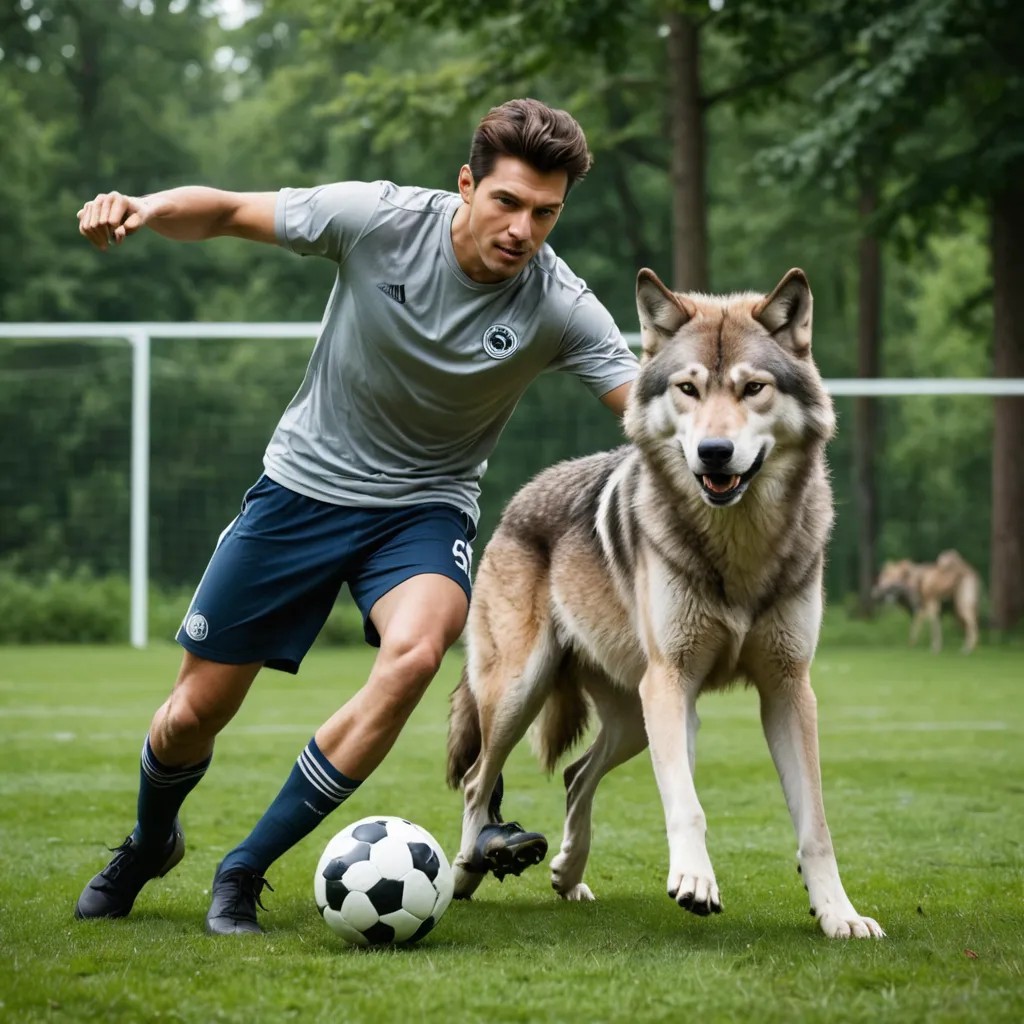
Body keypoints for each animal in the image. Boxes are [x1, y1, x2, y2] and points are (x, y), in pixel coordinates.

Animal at [446, 267, 884, 939]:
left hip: (635, 718)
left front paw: (839, 914)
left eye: (752, 388)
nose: (714, 452)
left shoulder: (788, 688)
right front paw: (695, 882)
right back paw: (465, 873)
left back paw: (568, 875)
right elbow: (687, 805)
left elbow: (816, 826)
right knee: (476, 781)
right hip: (529, 693)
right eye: (688, 389)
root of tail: (519, 499)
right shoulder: (672, 681)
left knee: (575, 775)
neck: (738, 550)